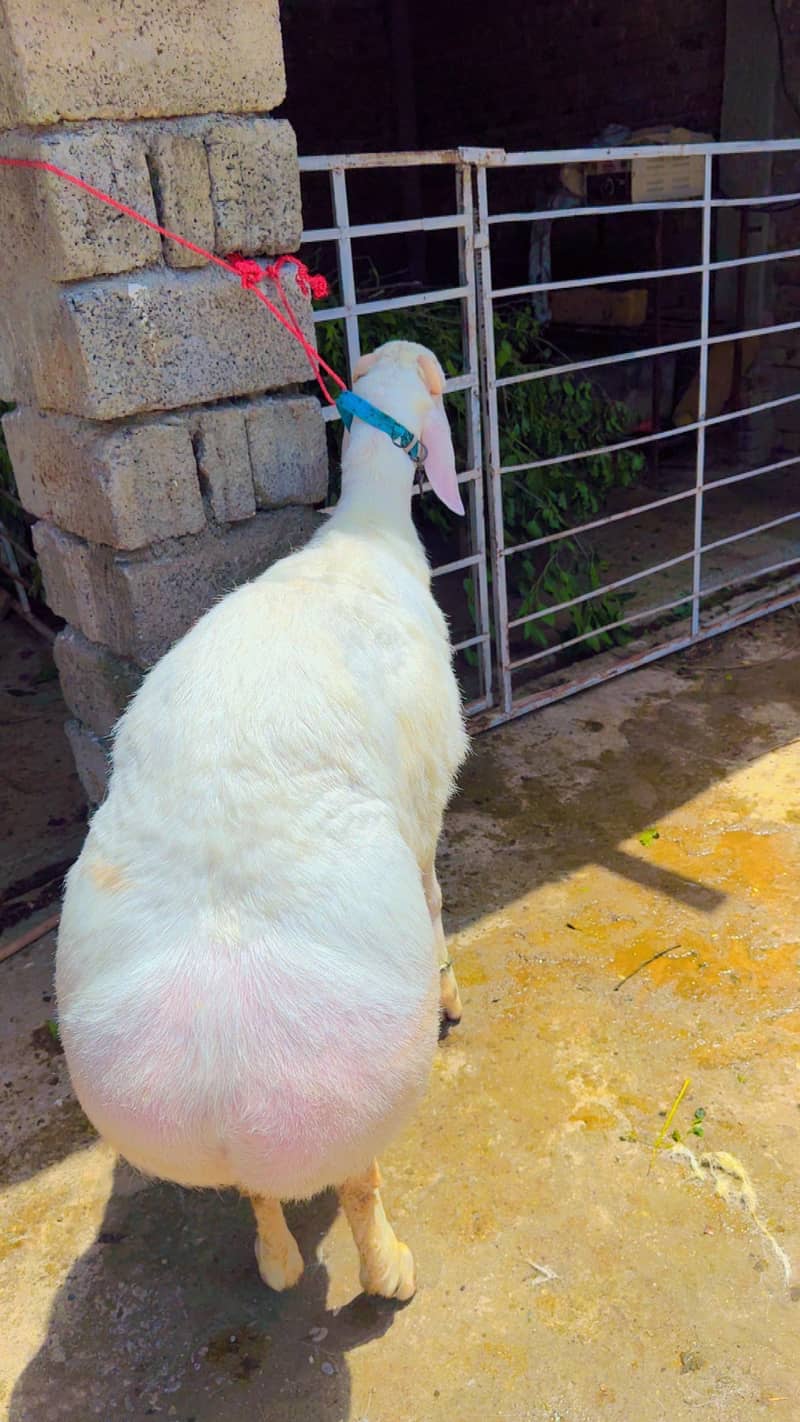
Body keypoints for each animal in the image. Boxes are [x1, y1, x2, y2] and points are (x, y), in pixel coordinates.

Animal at [56, 340, 469, 1303]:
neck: (362, 536)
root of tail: (220, 1065)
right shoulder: (426, 801)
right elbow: (436, 898)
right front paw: (451, 992)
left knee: (255, 1194)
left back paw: (276, 1266)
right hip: (354, 1098)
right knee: (357, 1185)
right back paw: (391, 1273)